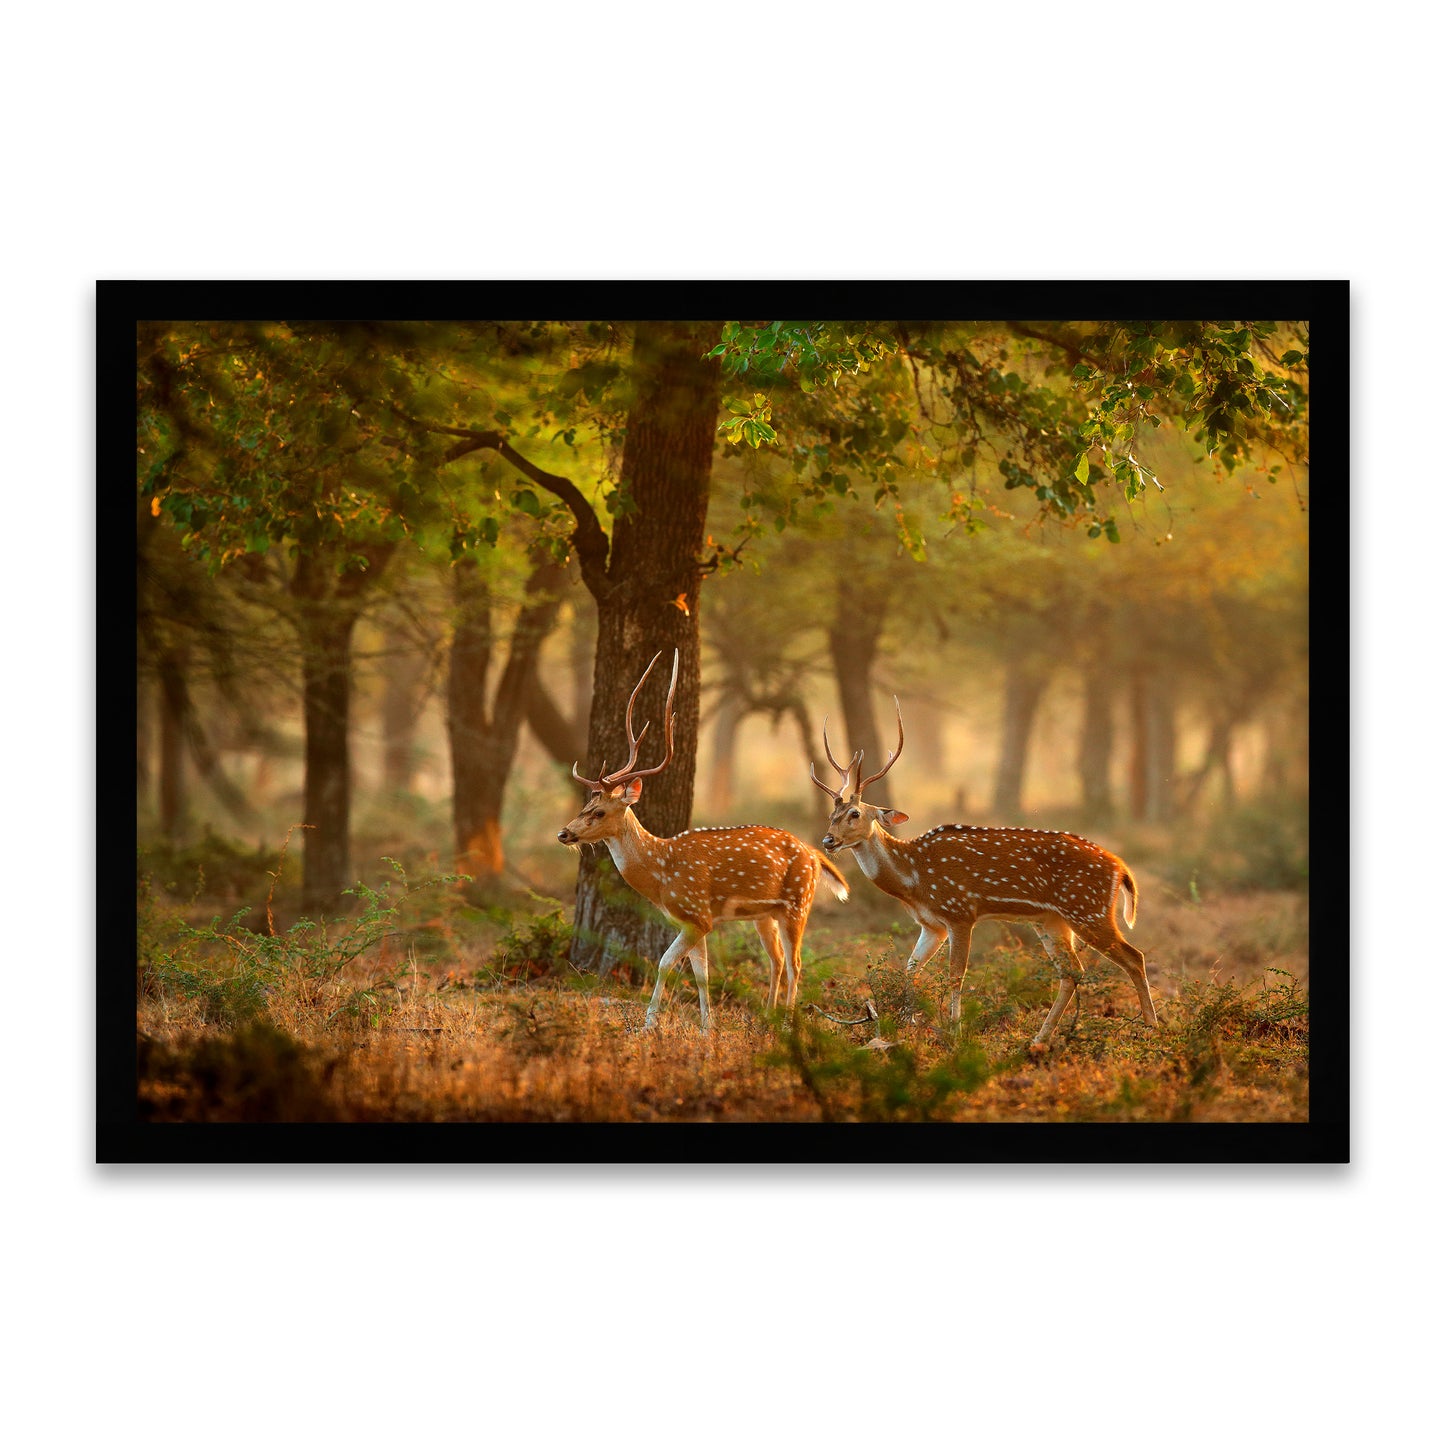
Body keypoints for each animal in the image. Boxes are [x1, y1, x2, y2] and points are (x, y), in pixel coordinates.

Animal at [557, 649, 850, 1031]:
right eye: (585, 805)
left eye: (601, 811)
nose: (564, 833)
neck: (661, 874)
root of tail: (815, 853)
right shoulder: (693, 921)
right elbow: (702, 975)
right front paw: (707, 1027)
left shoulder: (697, 915)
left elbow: (665, 963)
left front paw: (649, 1023)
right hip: (765, 914)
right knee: (778, 960)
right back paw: (769, 1015)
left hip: (798, 903)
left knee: (796, 963)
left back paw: (786, 1021)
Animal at [811, 701, 1159, 1051]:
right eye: (831, 814)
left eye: (855, 814)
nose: (828, 840)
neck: (914, 879)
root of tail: (1121, 869)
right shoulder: (932, 924)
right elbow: (910, 968)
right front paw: (906, 1024)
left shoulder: (960, 911)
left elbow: (956, 974)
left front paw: (954, 1030)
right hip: (1052, 920)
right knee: (1072, 971)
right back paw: (1040, 1037)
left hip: (1088, 909)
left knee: (1134, 957)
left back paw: (1150, 1030)